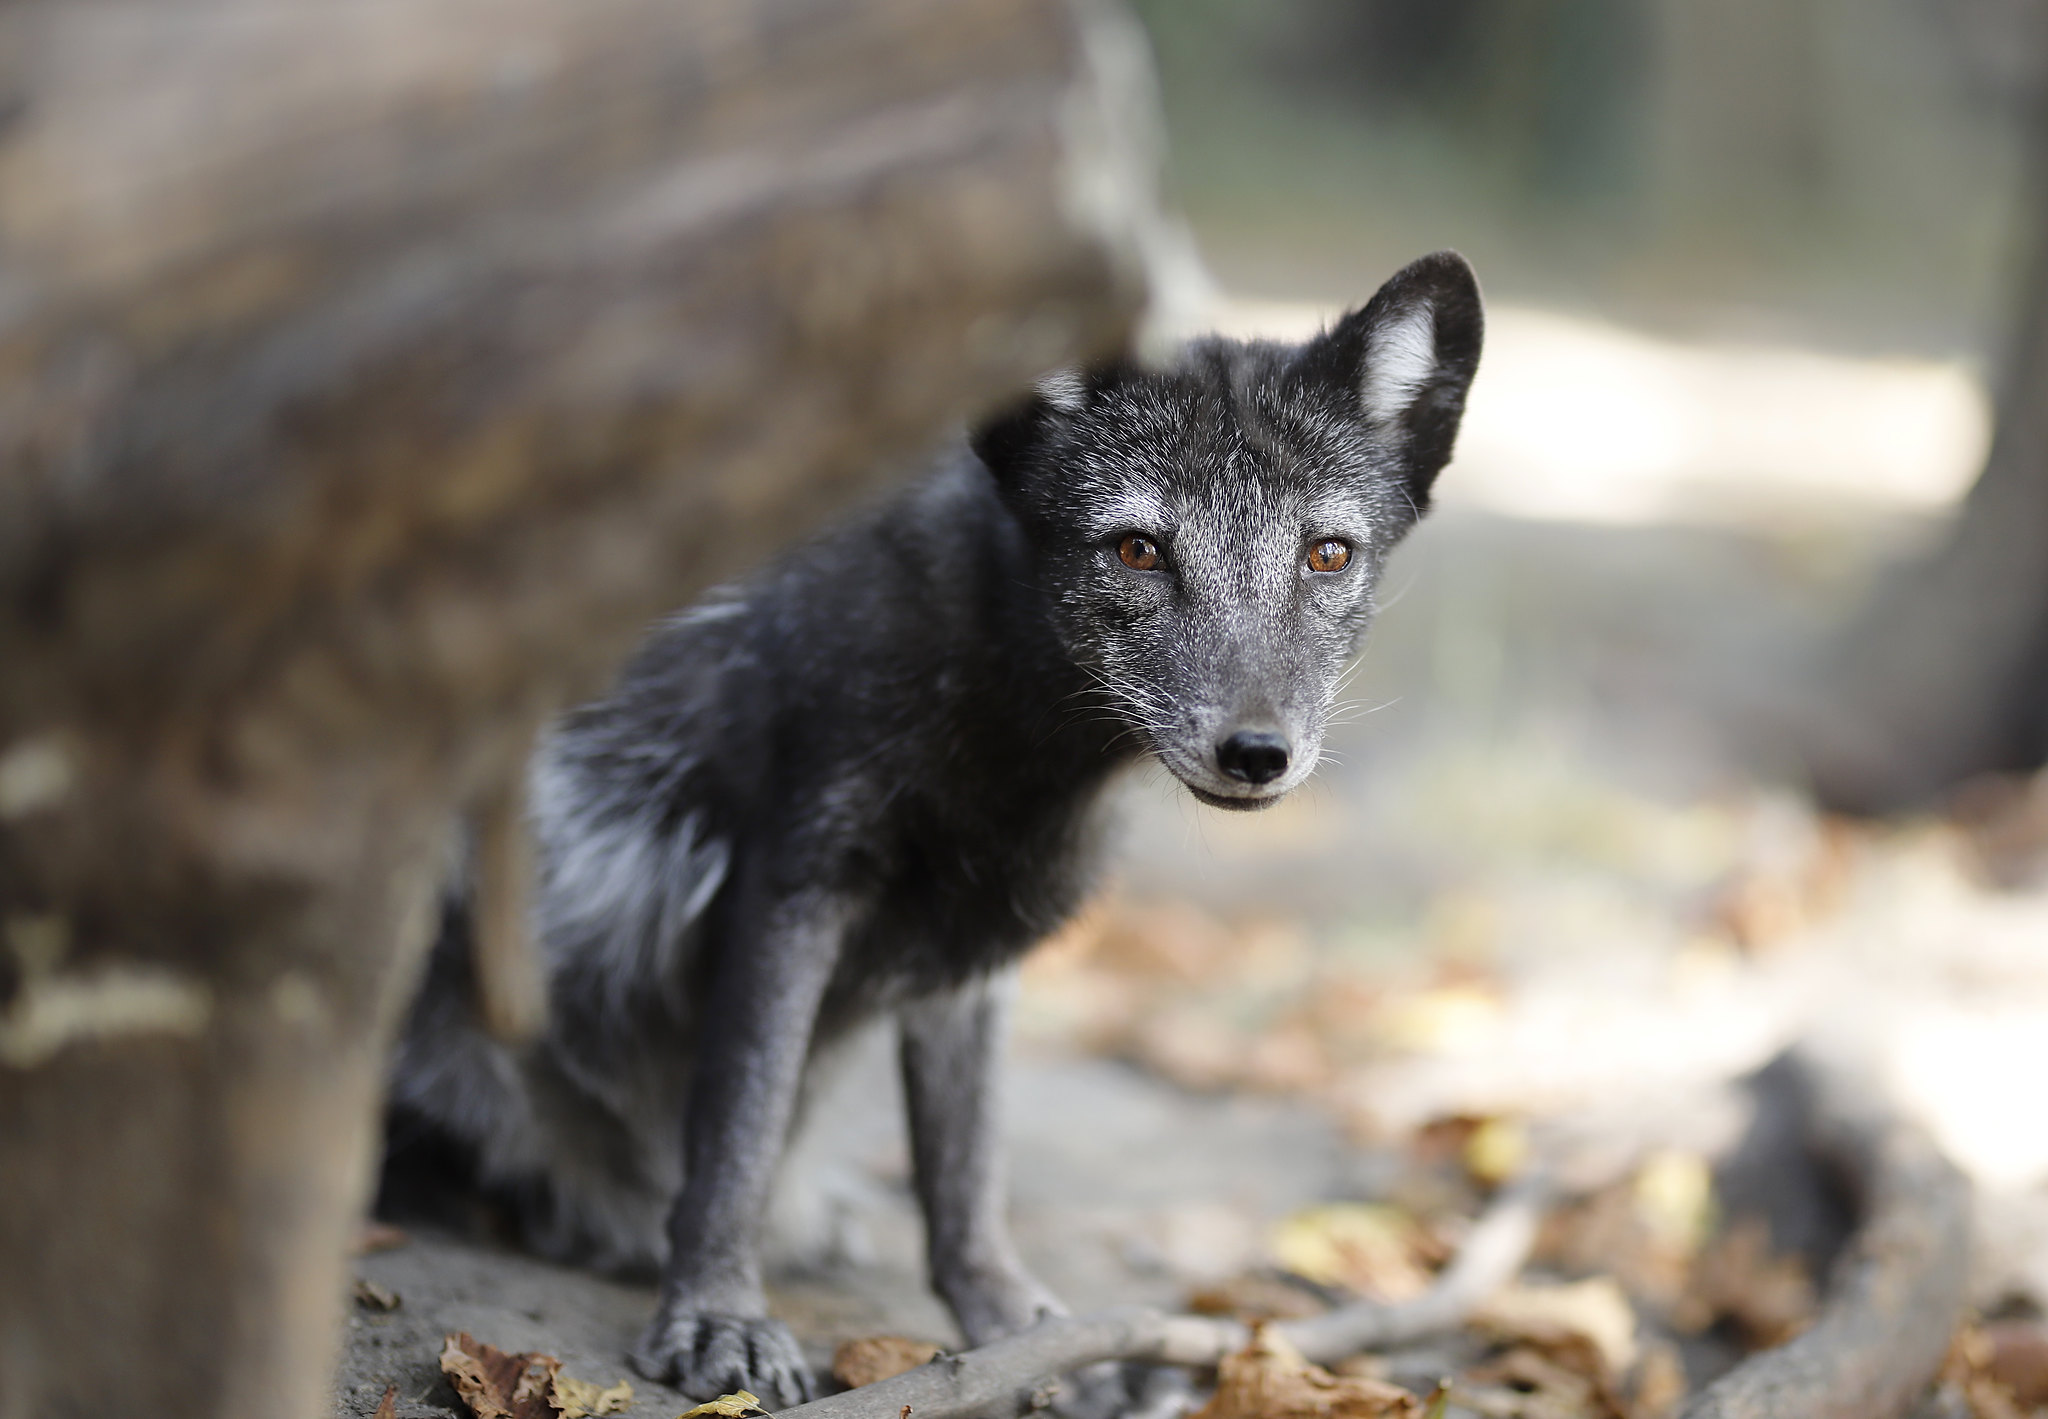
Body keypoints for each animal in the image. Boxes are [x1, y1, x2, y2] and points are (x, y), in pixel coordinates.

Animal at [385, 251, 1482, 1408]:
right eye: (1138, 550)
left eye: (1327, 555)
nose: (1257, 753)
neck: (1007, 749)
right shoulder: (797, 879)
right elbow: (740, 1130)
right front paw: (719, 1311)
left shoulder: (978, 940)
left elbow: (967, 1175)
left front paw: (1025, 1332)